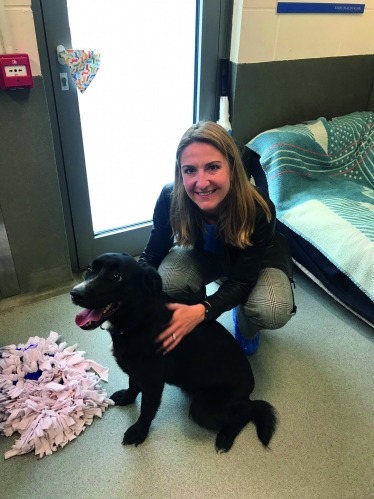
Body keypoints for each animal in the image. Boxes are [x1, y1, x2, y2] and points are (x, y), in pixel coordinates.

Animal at [71, 254, 278, 454]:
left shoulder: (153, 384)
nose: (75, 294)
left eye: (116, 277)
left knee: (247, 412)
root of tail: (248, 393)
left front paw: (139, 432)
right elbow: (132, 386)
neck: (140, 320)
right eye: (89, 269)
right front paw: (126, 398)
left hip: (202, 408)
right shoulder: (135, 371)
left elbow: (146, 411)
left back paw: (226, 436)